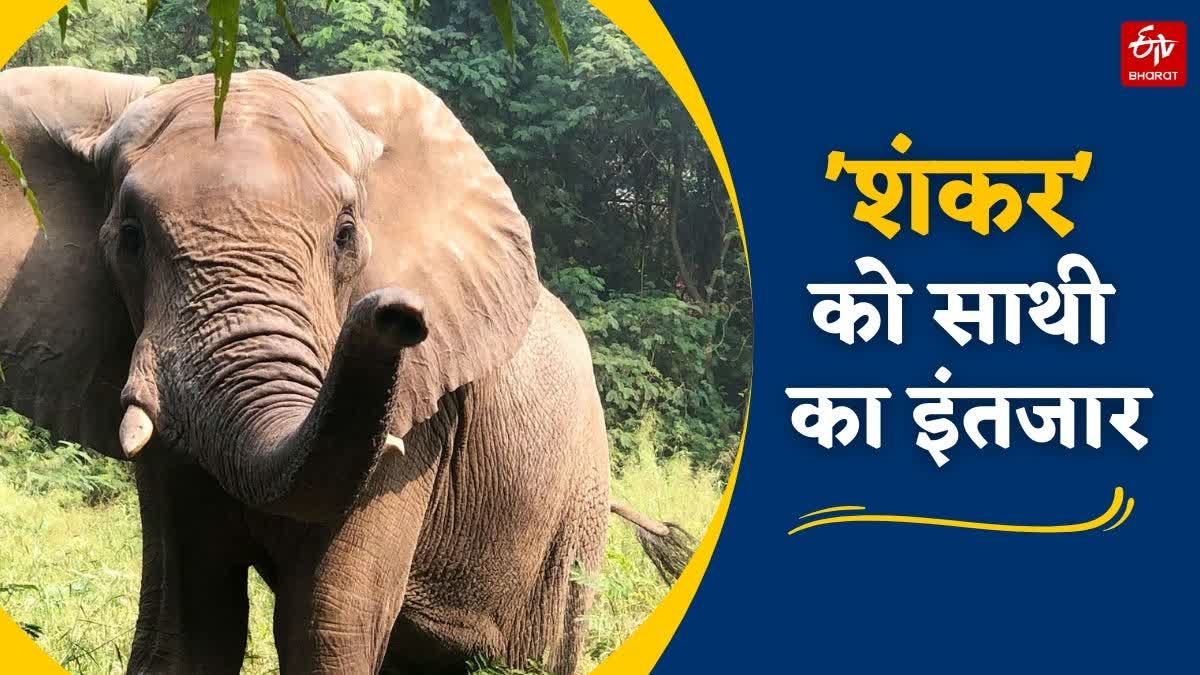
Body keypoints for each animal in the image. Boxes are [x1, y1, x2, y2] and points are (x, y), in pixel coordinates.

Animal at [0, 66, 694, 674]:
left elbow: (327, 625)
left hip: (572, 516)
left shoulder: (419, 425)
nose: (397, 312)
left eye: (345, 233)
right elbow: (186, 628)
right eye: (130, 237)